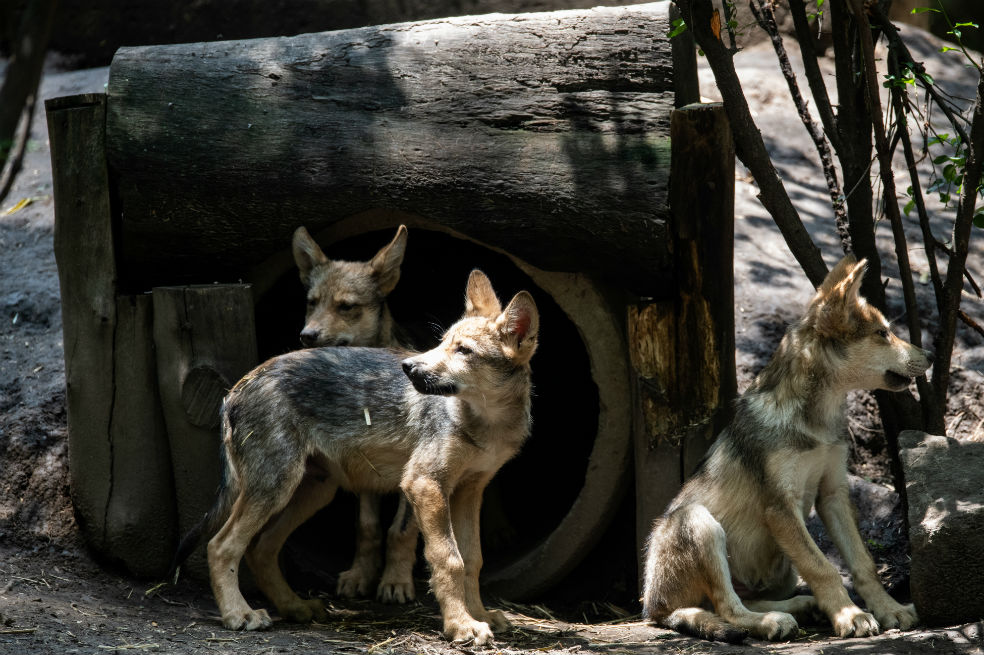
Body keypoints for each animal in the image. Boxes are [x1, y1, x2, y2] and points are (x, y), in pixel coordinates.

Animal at [205, 270, 538, 645]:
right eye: (441, 343)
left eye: (464, 350)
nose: (408, 367)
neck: (486, 423)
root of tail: (235, 388)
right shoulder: (424, 484)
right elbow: (448, 559)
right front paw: (461, 625)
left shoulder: (469, 491)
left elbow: (473, 560)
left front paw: (480, 616)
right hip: (276, 488)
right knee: (220, 546)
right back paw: (239, 615)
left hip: (312, 492)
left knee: (260, 549)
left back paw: (295, 607)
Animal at [291, 224, 419, 603]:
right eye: (312, 303)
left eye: (346, 306)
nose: (306, 336)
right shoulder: (363, 466)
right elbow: (368, 528)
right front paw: (362, 575)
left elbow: (400, 531)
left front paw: (396, 581)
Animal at [642, 255, 933, 643]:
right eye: (883, 333)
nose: (931, 355)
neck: (818, 418)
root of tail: (650, 606)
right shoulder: (781, 507)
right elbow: (823, 567)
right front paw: (851, 616)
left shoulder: (833, 494)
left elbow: (863, 564)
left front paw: (889, 609)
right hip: (697, 521)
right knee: (725, 608)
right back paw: (771, 623)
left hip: (780, 573)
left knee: (734, 602)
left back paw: (799, 607)